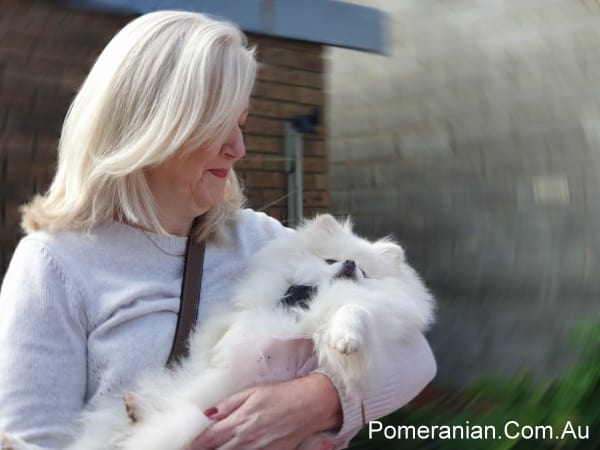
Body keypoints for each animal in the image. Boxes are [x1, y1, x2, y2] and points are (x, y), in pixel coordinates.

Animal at [0, 214, 432, 450]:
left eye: (365, 271)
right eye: (330, 259)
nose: (349, 264)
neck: (315, 297)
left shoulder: (373, 320)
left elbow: (353, 310)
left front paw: (345, 337)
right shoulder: (261, 304)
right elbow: (240, 324)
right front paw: (225, 349)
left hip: (192, 419)